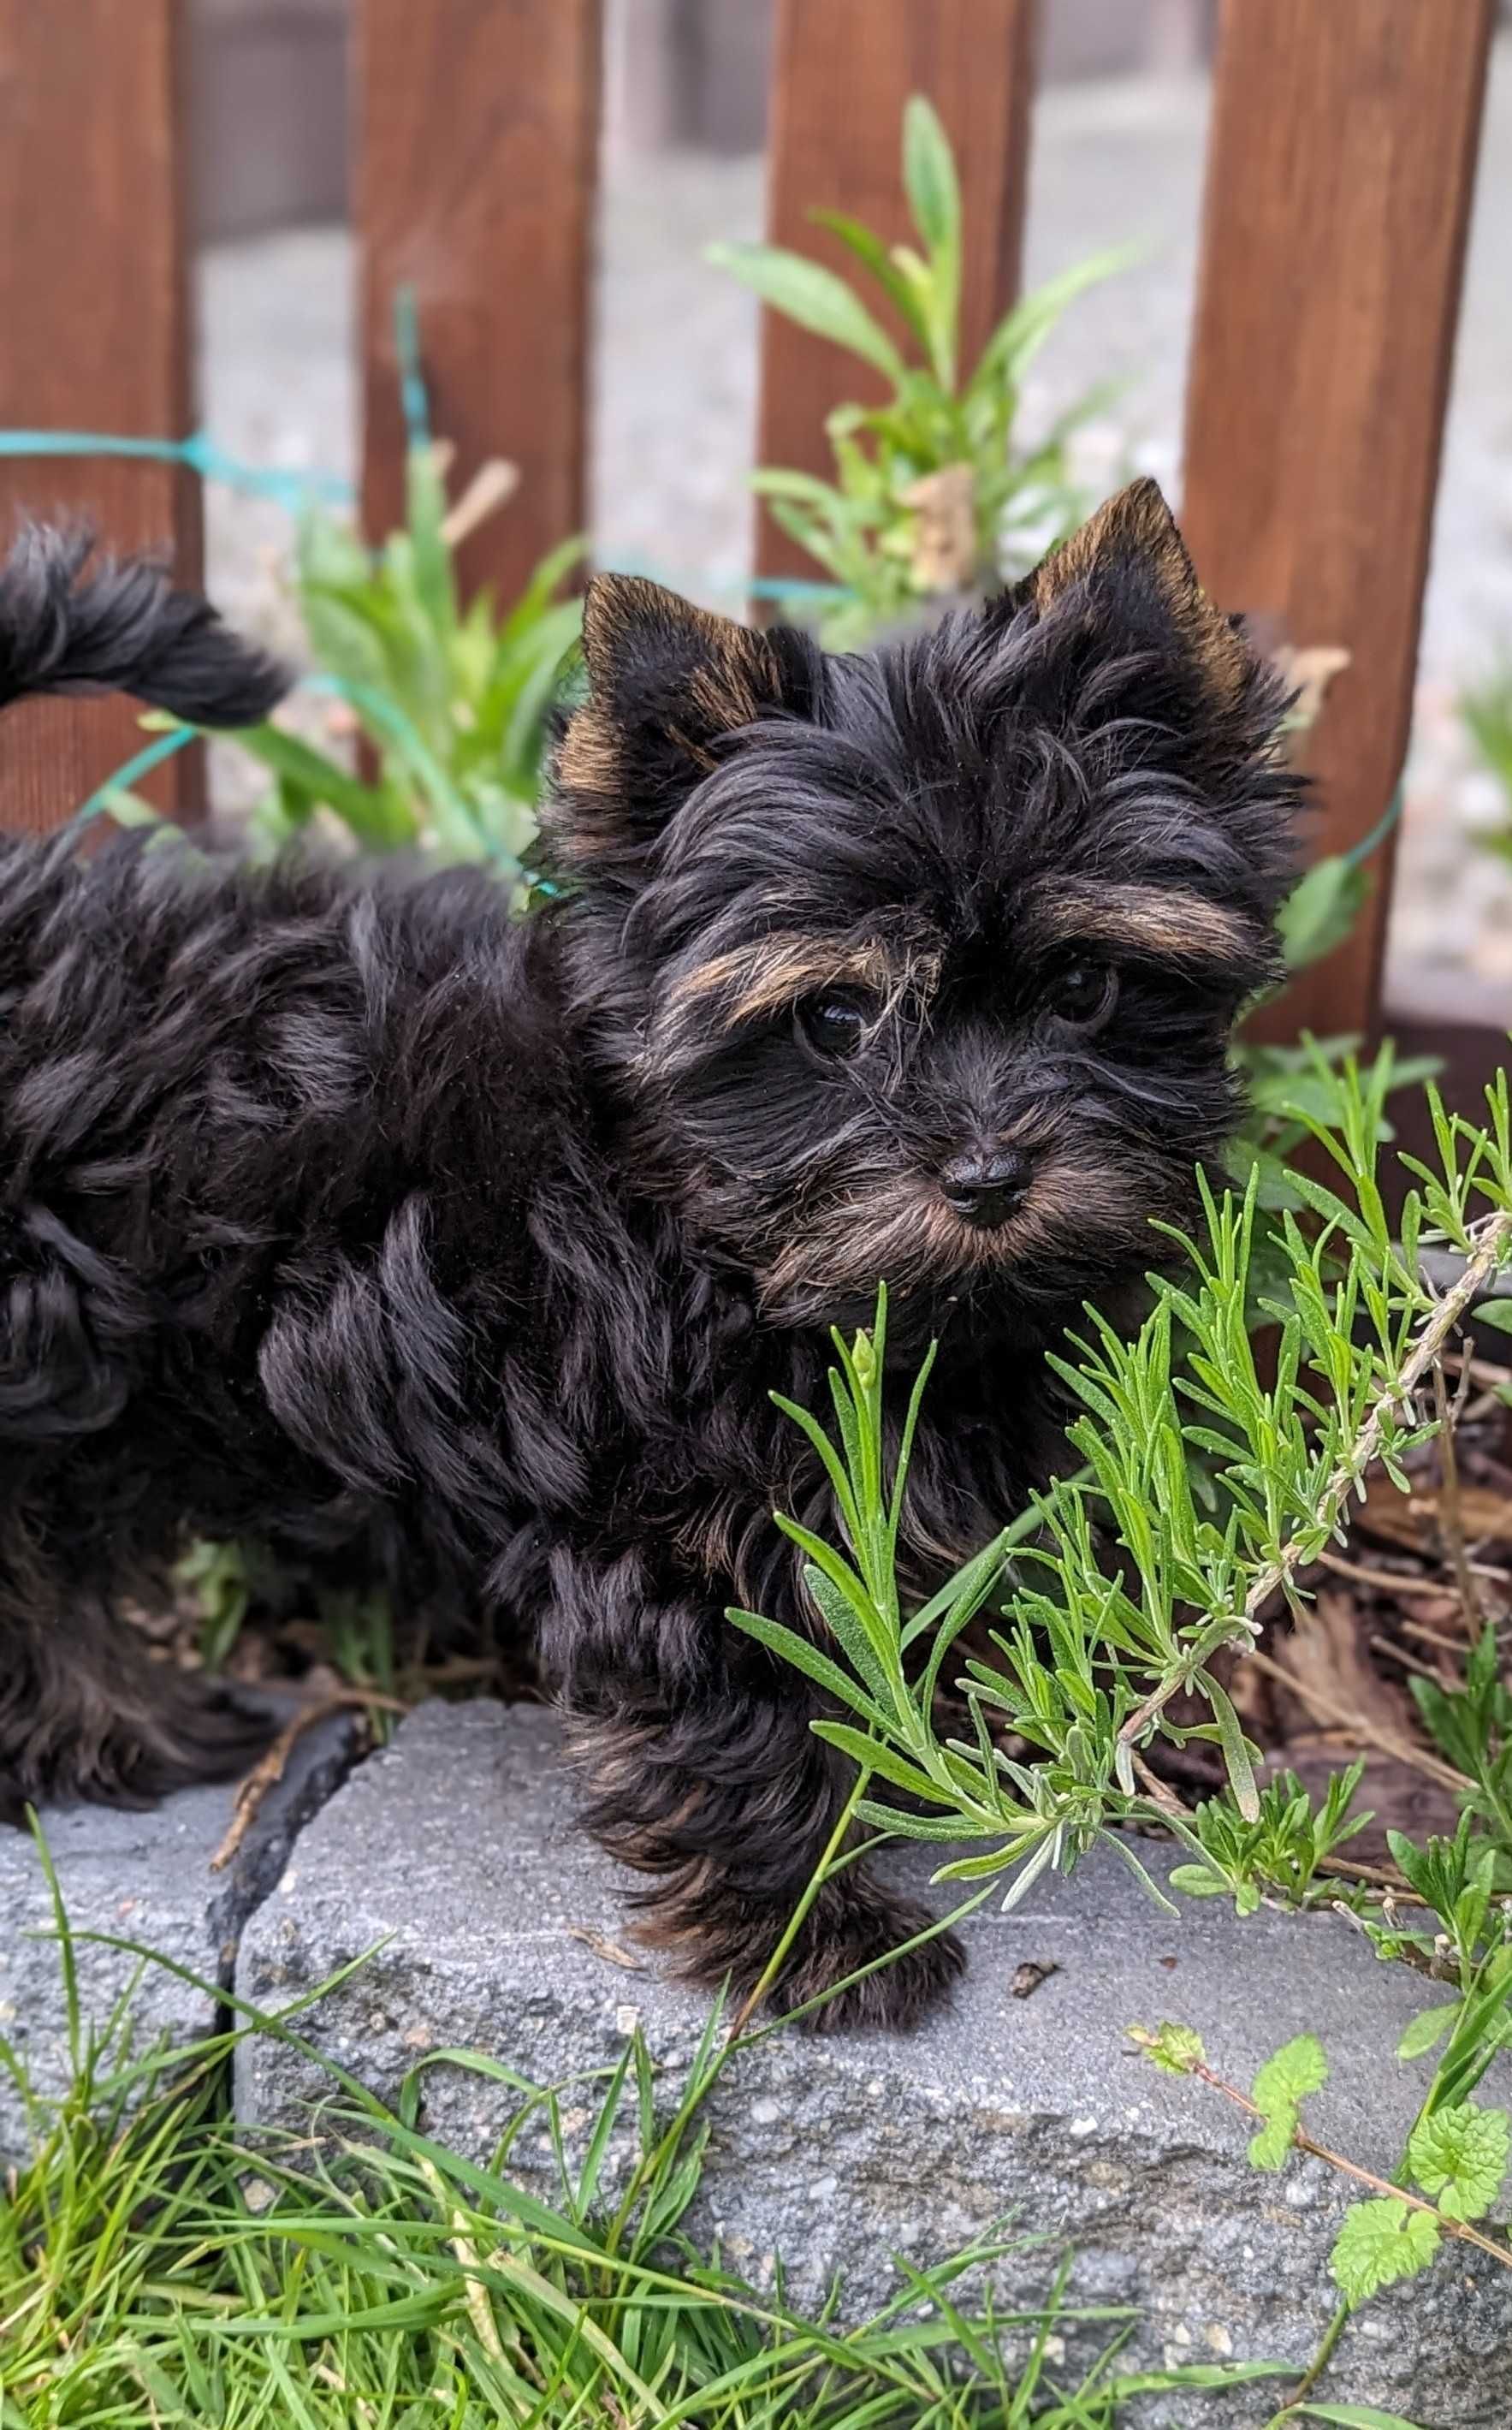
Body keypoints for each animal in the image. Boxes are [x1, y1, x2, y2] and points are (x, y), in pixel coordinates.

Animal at [0, 483, 1302, 2022]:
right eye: (833, 1019)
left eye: (1086, 985)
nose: (987, 1172)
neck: (711, 1224)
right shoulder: (663, 1503)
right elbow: (727, 1711)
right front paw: (811, 1928)